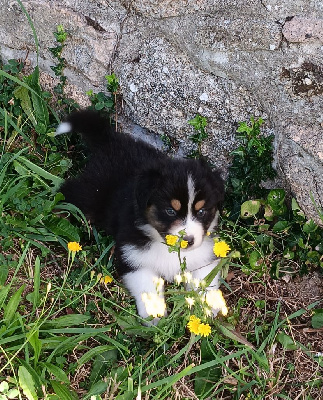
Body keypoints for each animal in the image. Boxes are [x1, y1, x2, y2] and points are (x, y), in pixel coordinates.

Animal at [57, 110, 225, 322]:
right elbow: (147, 285)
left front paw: (209, 306)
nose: (187, 241)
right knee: (67, 190)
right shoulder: (132, 254)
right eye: (170, 211)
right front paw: (155, 313)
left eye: (201, 211)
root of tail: (111, 139)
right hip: (91, 194)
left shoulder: (202, 257)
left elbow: (205, 280)